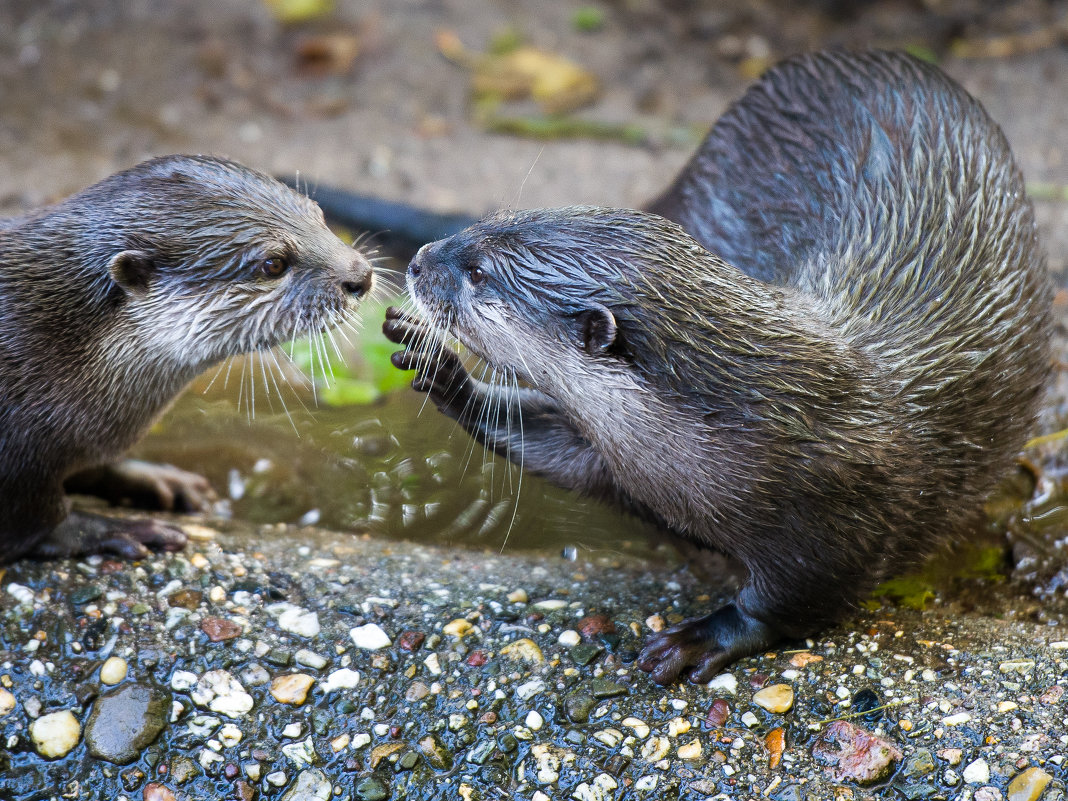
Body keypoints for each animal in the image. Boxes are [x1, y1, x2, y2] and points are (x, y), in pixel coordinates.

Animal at [1, 153, 375, 559]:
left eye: (318, 213)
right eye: (273, 263)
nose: (362, 275)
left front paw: (156, 478)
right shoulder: (17, 455)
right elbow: (39, 520)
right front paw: (117, 529)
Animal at [384, 51, 1050, 683]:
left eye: (478, 273)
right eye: (484, 223)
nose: (418, 260)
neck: (766, 421)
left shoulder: (843, 519)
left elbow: (791, 600)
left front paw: (706, 635)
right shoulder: (620, 460)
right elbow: (551, 447)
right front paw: (444, 373)